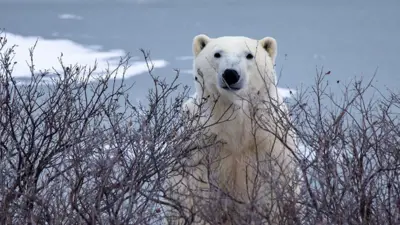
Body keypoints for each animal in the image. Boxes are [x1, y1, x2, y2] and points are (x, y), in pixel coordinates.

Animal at [164, 34, 298, 224]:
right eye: (217, 54)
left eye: (249, 55)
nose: (230, 74)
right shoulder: (200, 140)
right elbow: (193, 185)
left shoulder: (269, 139)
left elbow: (273, 185)